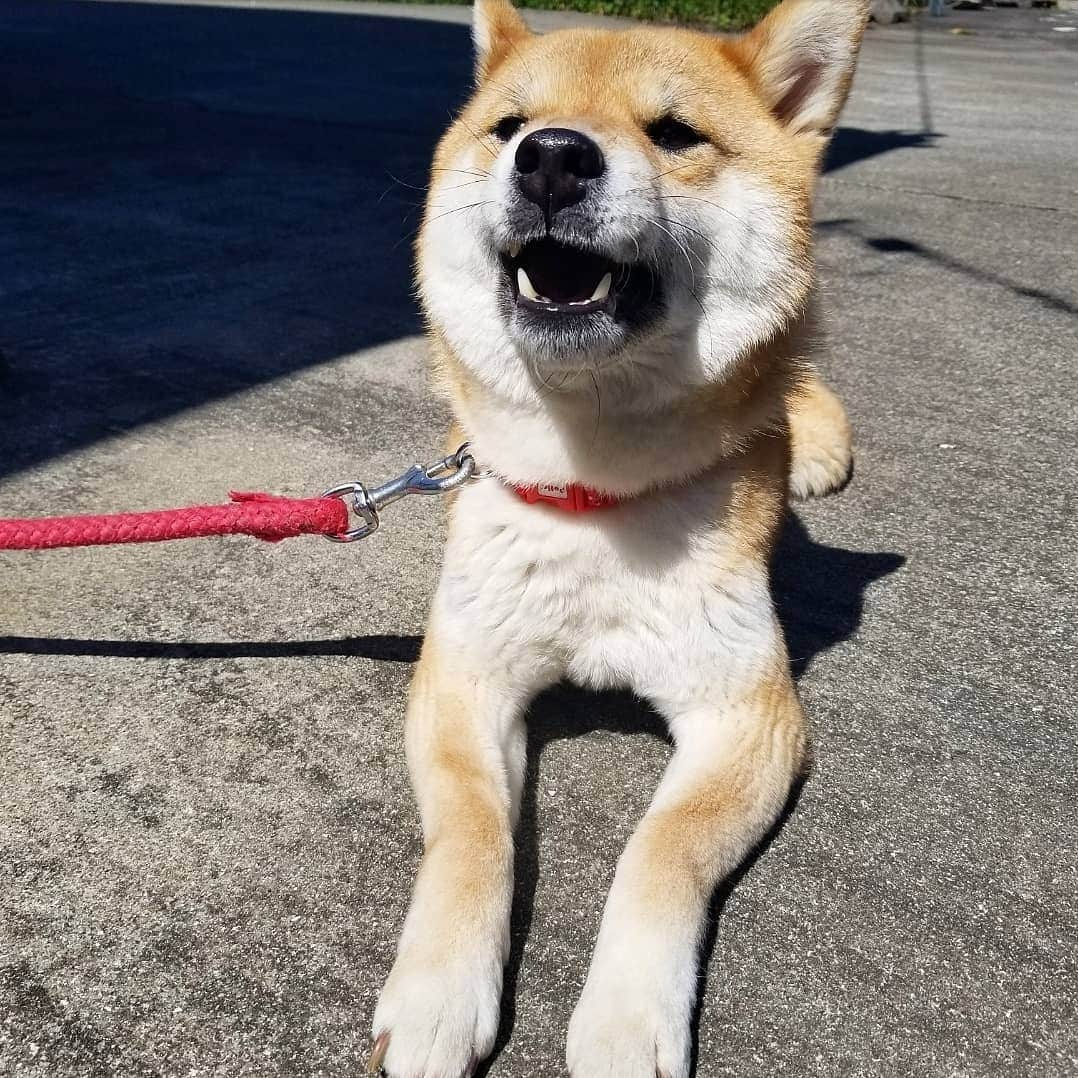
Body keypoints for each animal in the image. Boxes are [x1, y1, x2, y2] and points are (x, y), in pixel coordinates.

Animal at [370, 4, 866, 1073]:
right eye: (510, 126)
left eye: (675, 133)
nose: (553, 158)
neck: (592, 490)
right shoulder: (465, 673)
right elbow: (473, 832)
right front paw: (437, 993)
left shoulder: (748, 714)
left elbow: (661, 853)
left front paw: (627, 1022)